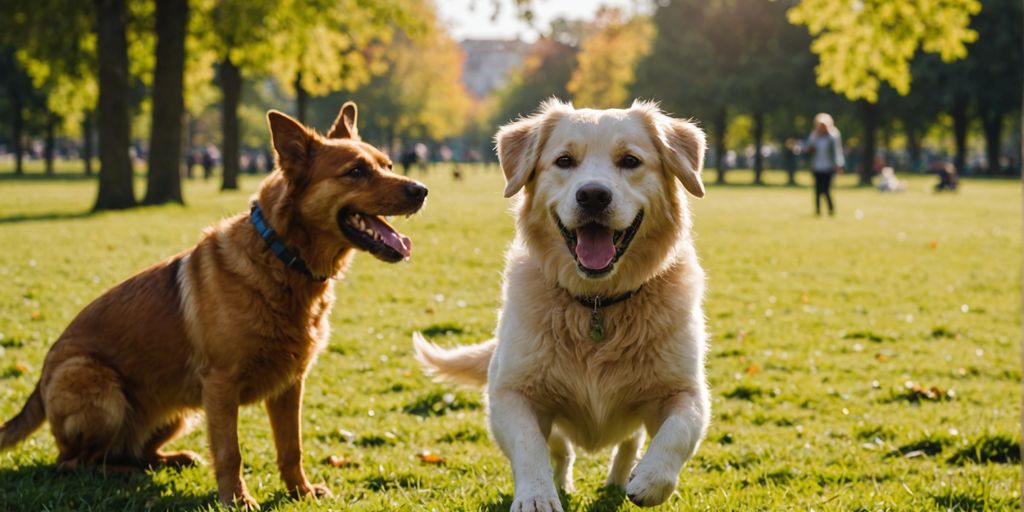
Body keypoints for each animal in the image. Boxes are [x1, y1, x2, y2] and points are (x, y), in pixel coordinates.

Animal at [0, 101, 428, 505]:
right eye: (355, 171)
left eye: (389, 165)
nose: (421, 190)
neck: (283, 260)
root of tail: (40, 383)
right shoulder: (221, 385)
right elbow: (230, 452)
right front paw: (236, 499)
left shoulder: (291, 384)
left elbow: (291, 447)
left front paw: (300, 491)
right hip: (97, 384)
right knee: (75, 462)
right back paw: (127, 475)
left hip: (177, 412)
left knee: (133, 450)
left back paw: (171, 460)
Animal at [415, 97, 712, 509]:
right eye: (565, 161)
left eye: (630, 160)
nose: (593, 195)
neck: (597, 304)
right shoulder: (511, 394)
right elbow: (529, 446)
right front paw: (537, 496)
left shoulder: (684, 390)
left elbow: (680, 430)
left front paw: (652, 481)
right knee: (560, 450)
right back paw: (562, 482)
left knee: (628, 443)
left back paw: (621, 480)